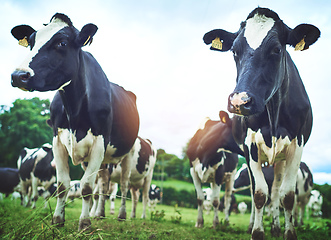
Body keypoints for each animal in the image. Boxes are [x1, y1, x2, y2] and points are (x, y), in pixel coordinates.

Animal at [10, 13, 139, 231]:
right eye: (31, 42)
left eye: (61, 43)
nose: (19, 75)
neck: (74, 109)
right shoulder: (57, 141)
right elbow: (63, 185)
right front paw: (57, 220)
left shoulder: (99, 142)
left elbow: (86, 187)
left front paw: (84, 223)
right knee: (103, 185)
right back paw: (99, 214)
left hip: (128, 153)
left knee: (123, 185)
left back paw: (120, 216)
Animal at [204, 6, 320, 239]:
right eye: (234, 51)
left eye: (276, 49)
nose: (239, 101)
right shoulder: (250, 146)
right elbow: (258, 194)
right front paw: (257, 232)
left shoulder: (297, 145)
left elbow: (287, 196)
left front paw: (288, 232)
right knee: (258, 191)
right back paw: (255, 225)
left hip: (280, 159)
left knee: (275, 191)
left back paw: (275, 226)